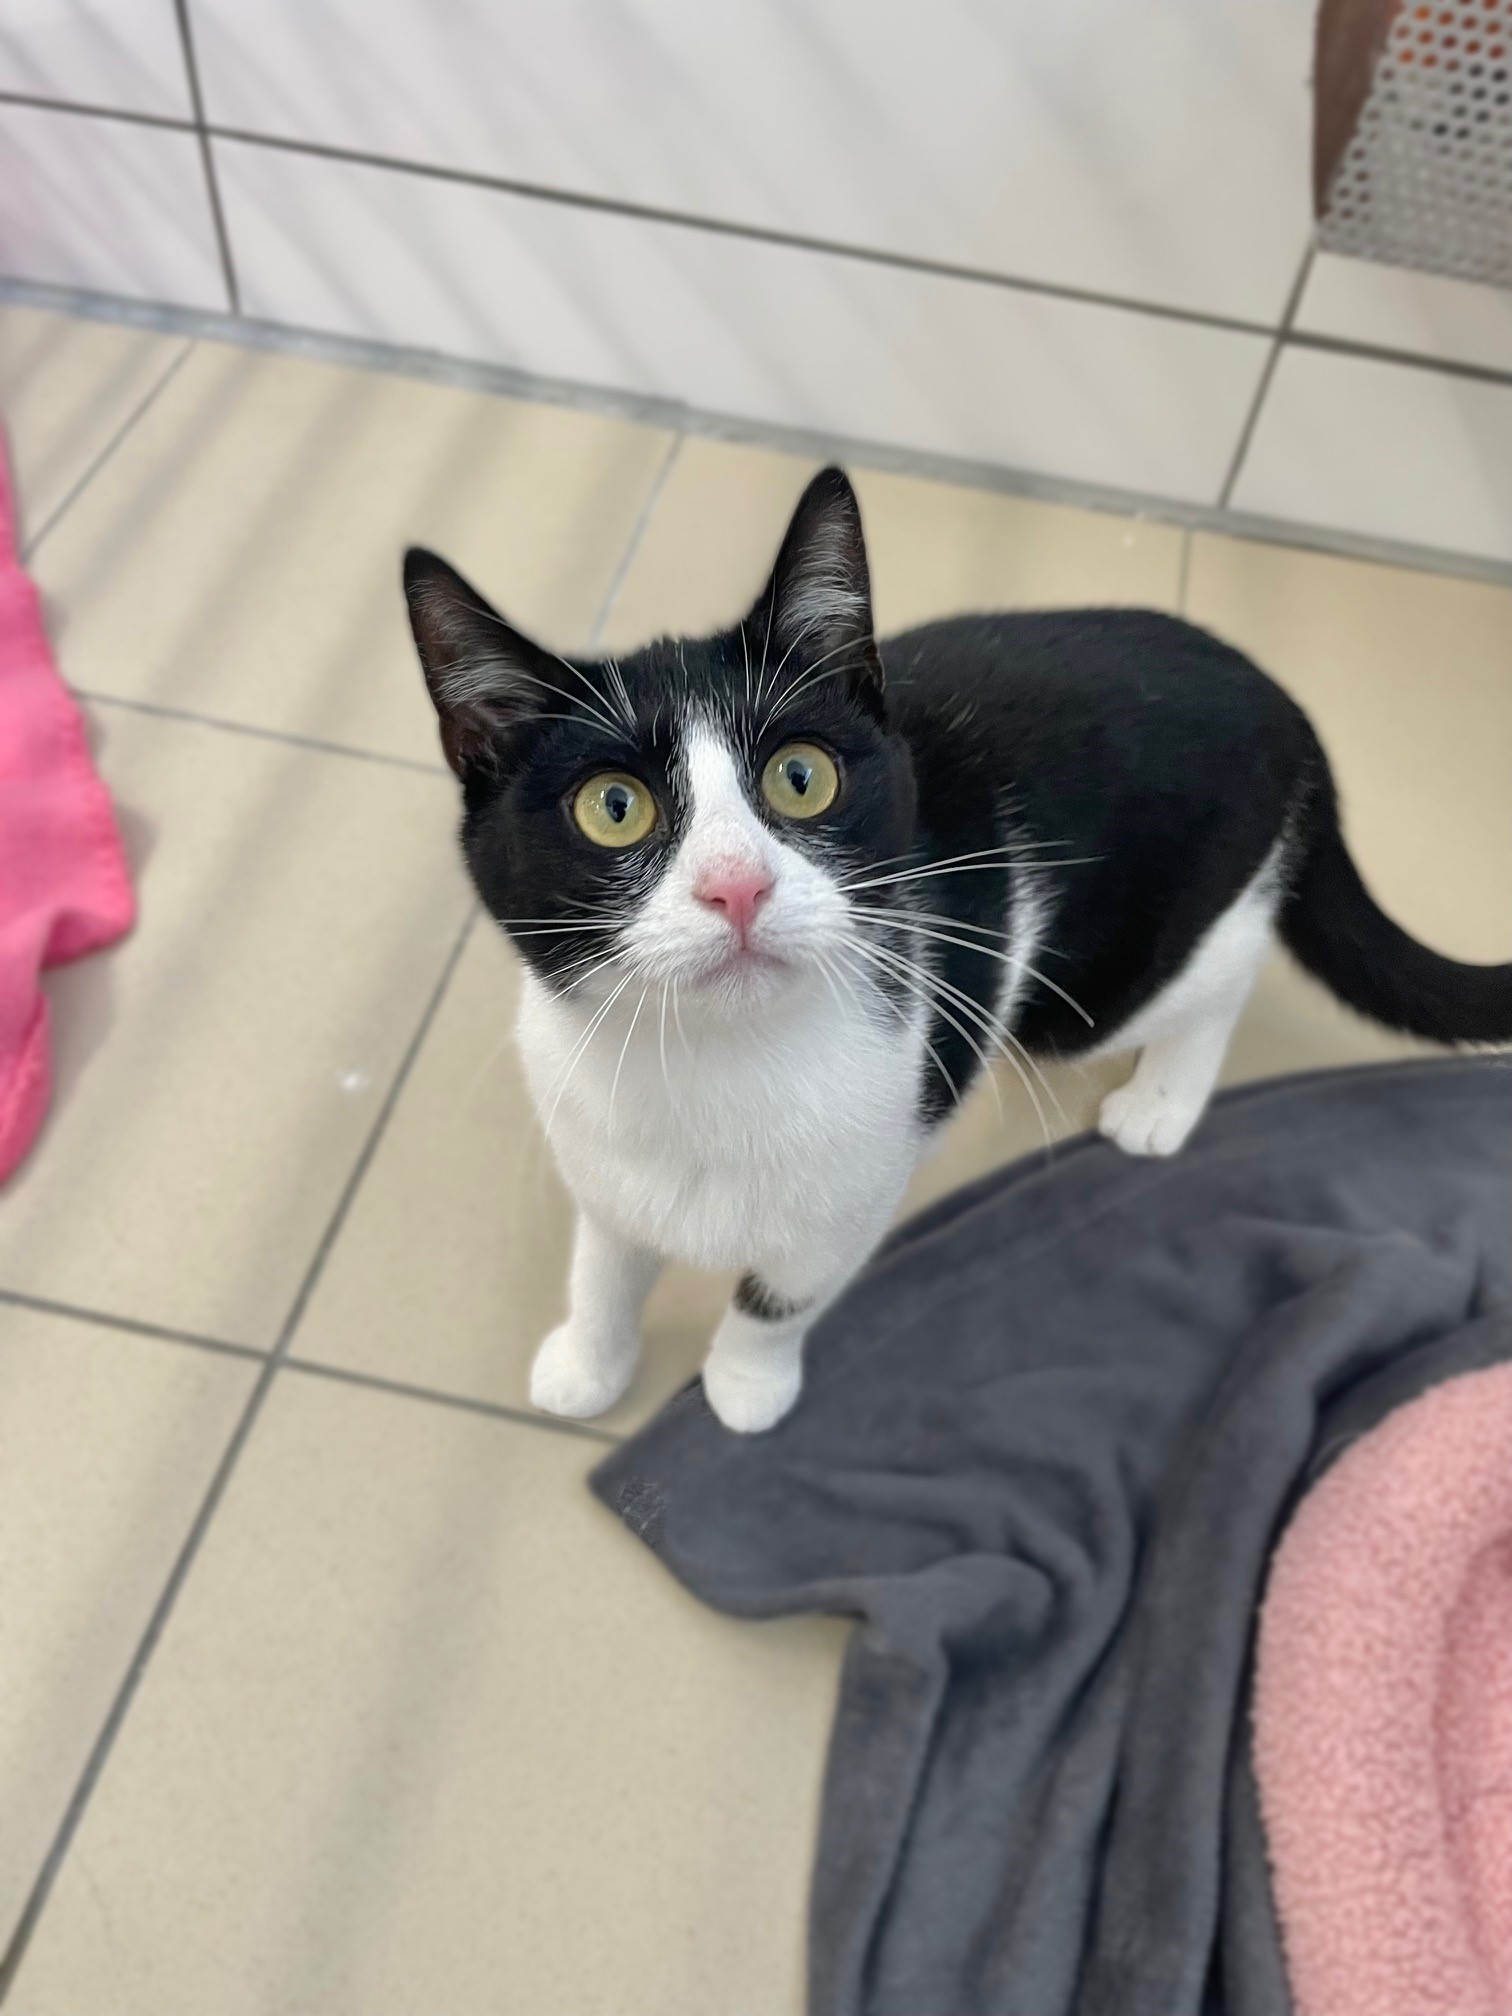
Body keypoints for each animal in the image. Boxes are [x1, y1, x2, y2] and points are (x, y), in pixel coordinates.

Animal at [404, 466, 1511, 1433]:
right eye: (614, 807)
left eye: (801, 777)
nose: (738, 885)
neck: (717, 1064)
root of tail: (1284, 697)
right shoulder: (597, 1146)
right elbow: (607, 1254)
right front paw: (589, 1358)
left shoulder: (864, 1181)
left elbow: (781, 1297)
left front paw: (743, 1385)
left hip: (1115, 976)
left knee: (1220, 970)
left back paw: (1165, 1097)